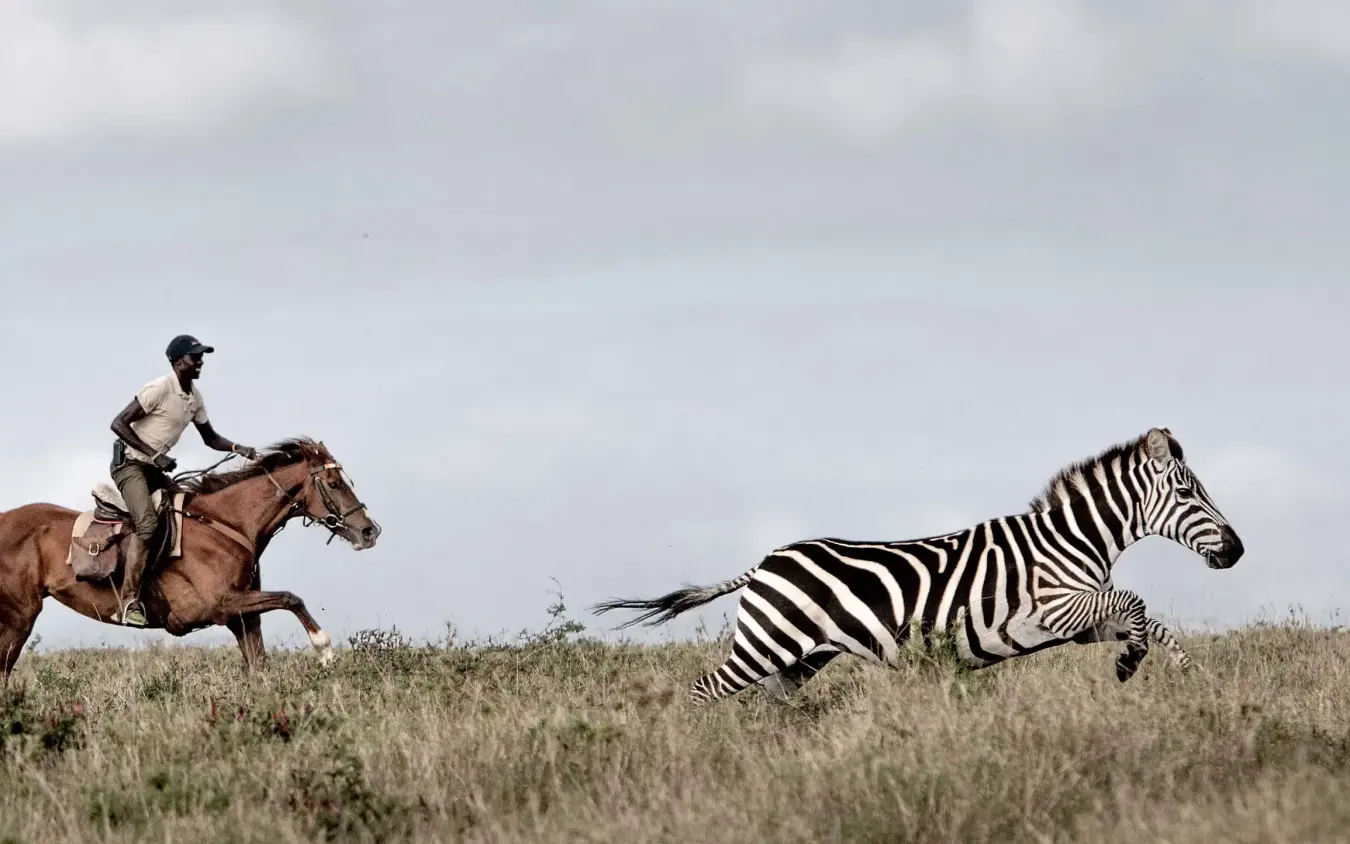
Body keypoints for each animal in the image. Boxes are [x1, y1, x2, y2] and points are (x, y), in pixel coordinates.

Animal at [592, 427, 1244, 705]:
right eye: (1187, 493)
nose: (1237, 551)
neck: (1071, 538)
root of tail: (761, 565)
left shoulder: (1080, 620)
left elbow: (1148, 619)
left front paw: (1181, 673)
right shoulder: (1047, 611)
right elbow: (1133, 602)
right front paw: (1131, 665)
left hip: (801, 657)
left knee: (774, 699)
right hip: (764, 645)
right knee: (702, 691)